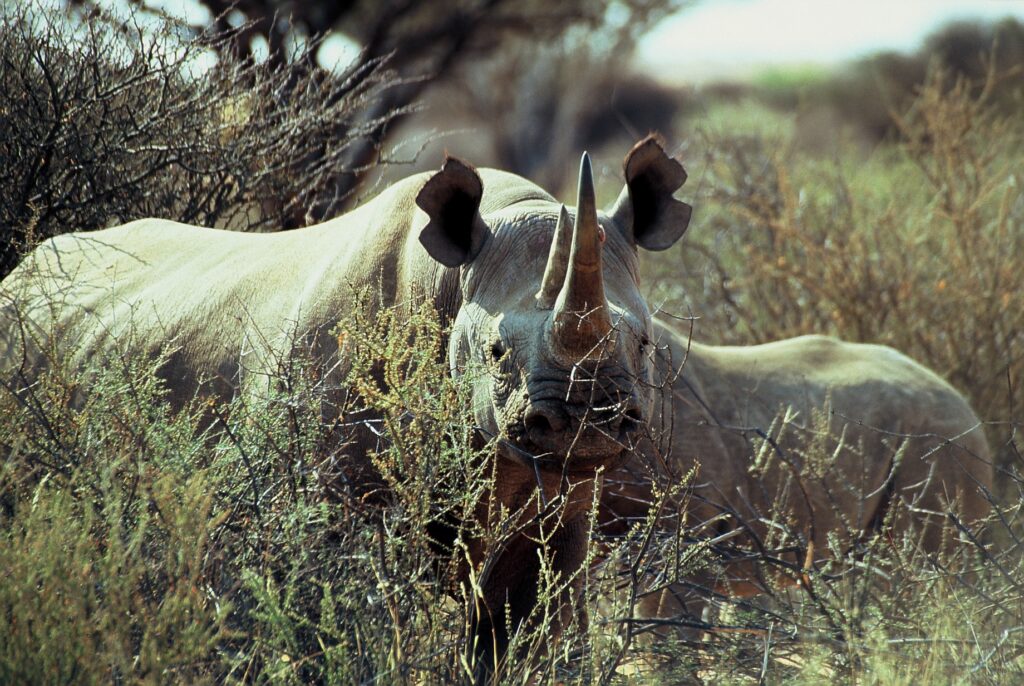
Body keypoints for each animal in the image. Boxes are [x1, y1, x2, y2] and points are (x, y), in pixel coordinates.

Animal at [0, 137, 693, 667]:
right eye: (496, 352)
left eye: (646, 344)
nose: (585, 421)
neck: (453, 278)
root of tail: (22, 269)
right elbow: (315, 623)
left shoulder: (554, 512)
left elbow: (525, 638)